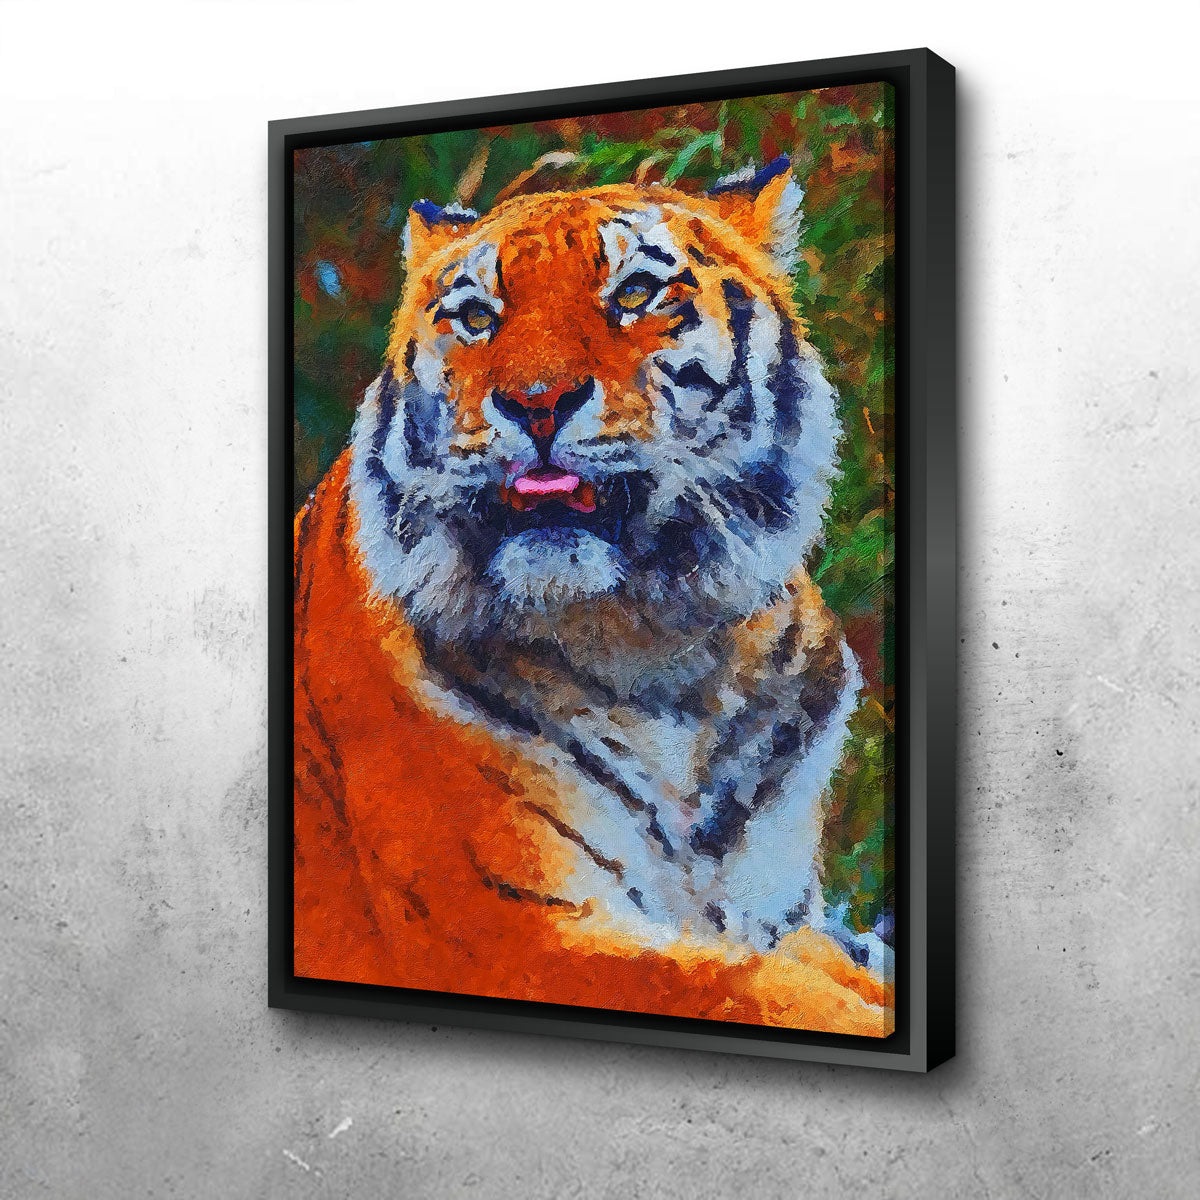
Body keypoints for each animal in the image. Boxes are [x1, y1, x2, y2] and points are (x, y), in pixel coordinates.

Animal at [293, 156, 893, 1035]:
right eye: (476, 317)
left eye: (636, 292)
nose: (536, 400)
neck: (660, 646)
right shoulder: (516, 935)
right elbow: (758, 989)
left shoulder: (778, 914)